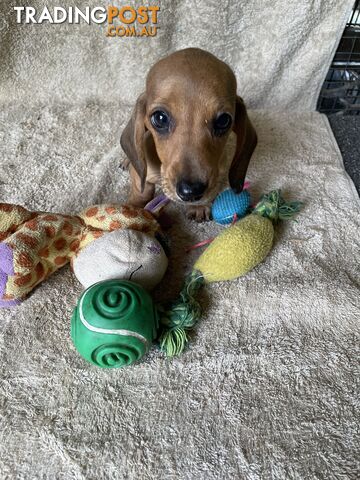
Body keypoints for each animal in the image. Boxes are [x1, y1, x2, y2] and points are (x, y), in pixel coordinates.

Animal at [120, 47, 256, 220]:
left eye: (223, 120)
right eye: (160, 118)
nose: (190, 191)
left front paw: (199, 206)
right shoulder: (143, 173)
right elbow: (142, 190)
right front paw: (132, 209)